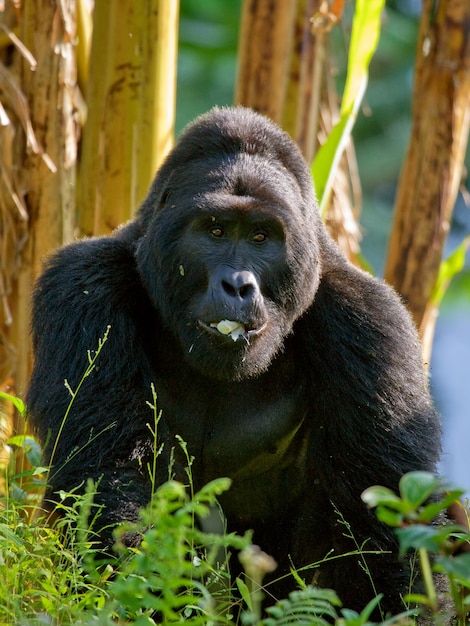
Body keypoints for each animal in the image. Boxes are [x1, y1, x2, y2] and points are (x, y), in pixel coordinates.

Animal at [28, 105, 440, 612]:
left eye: (261, 237)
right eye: (215, 230)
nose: (238, 285)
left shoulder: (373, 322)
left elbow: (385, 535)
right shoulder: (82, 288)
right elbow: (110, 481)